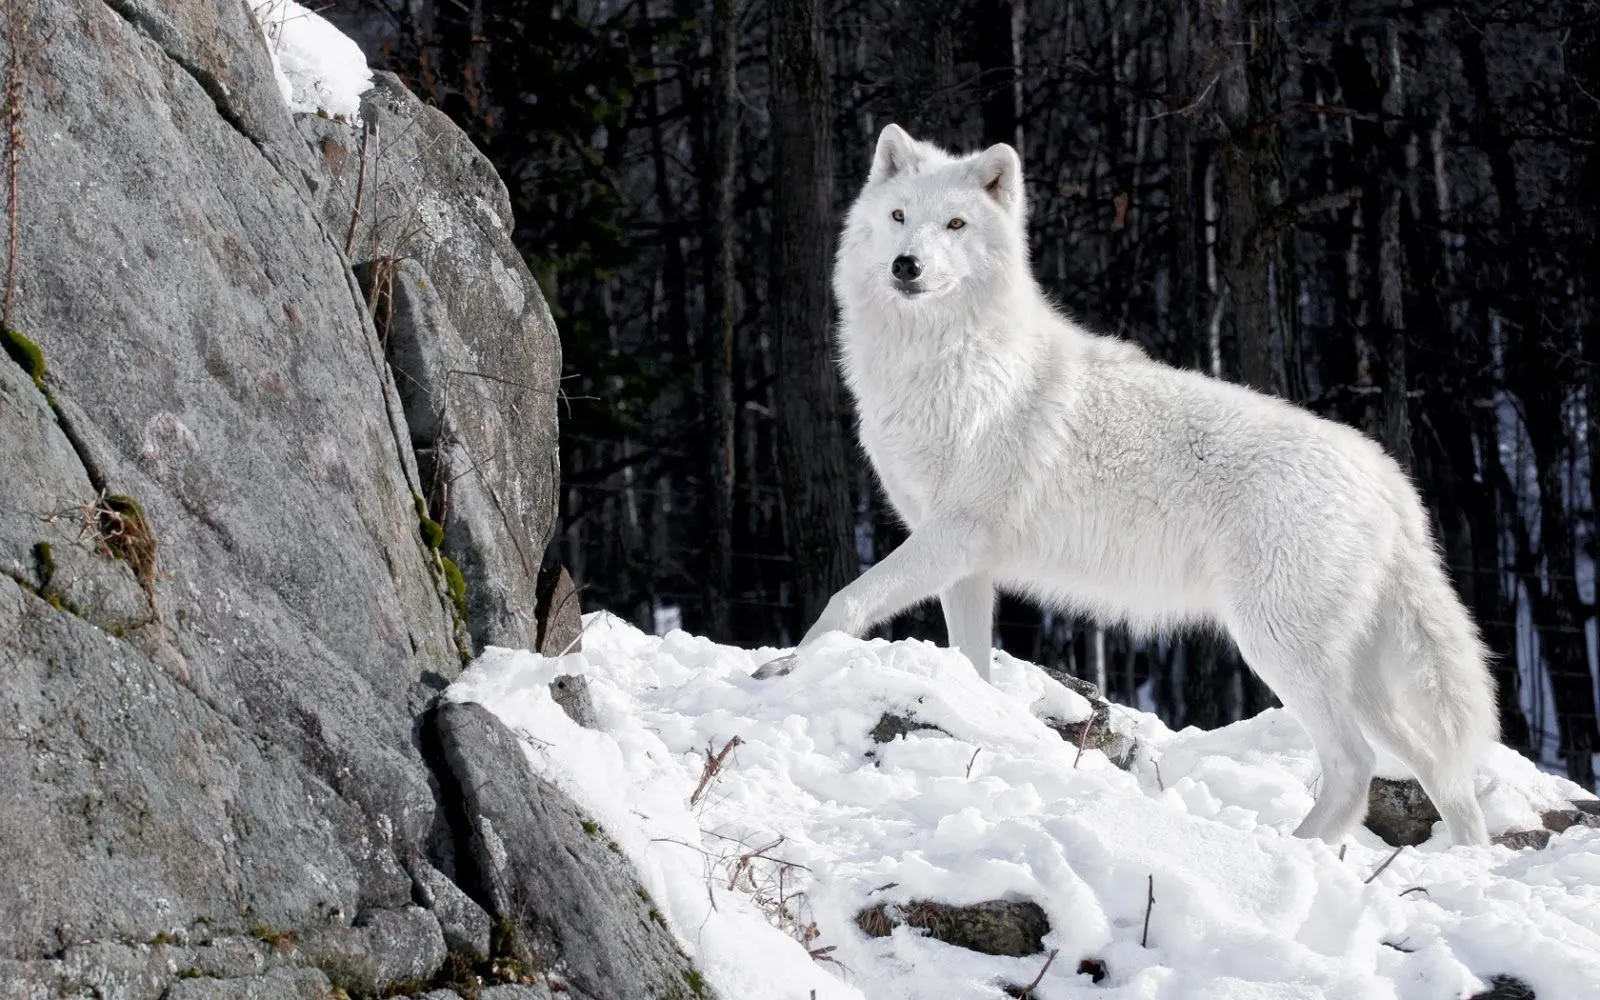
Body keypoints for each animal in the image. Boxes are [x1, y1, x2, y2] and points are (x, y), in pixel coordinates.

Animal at [787, 123, 1497, 844]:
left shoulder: (952, 536)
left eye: (955, 224)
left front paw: (785, 671)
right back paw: (1466, 860)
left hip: (1278, 647)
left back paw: (1293, 851)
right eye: (900, 217)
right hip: (1354, 676)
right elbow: (972, 666)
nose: (907, 265)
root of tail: (1388, 477)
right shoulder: (965, 566)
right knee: (1442, 773)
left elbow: (843, 602)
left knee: (1356, 768)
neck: (944, 363)